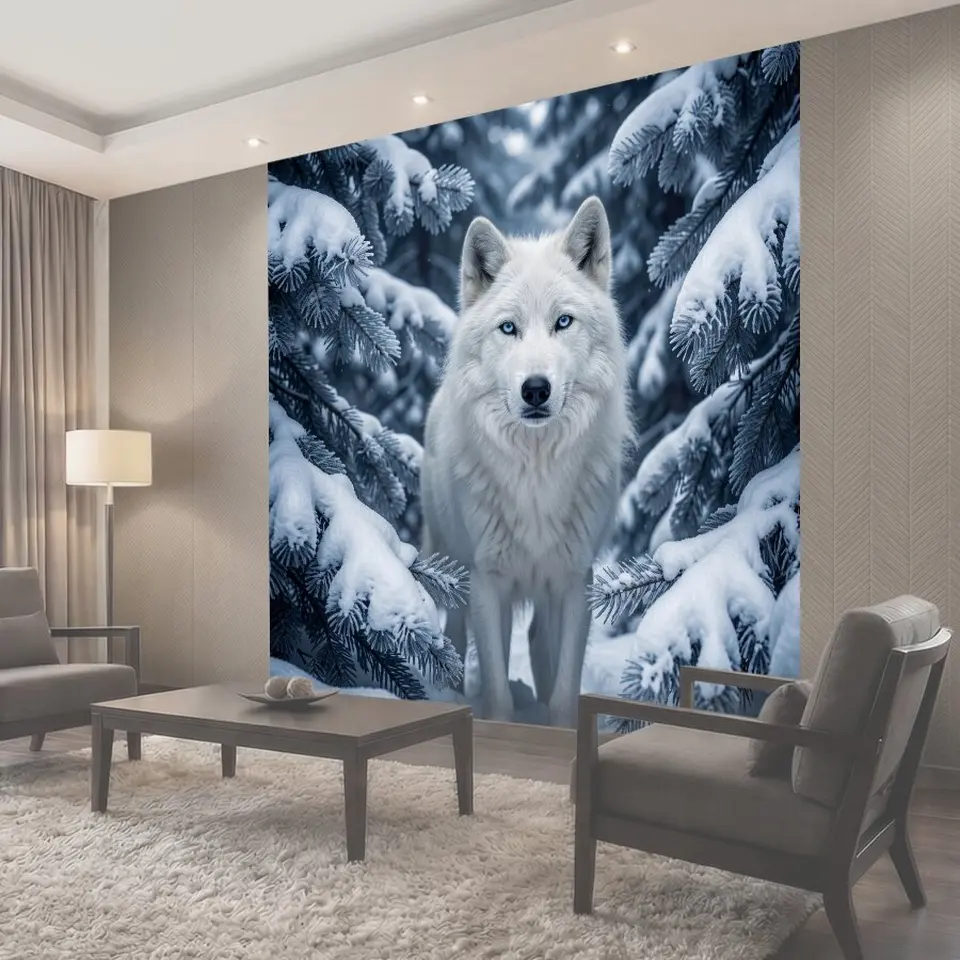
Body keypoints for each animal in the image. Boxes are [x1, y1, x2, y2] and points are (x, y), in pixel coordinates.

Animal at [420, 196, 631, 728]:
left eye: (563, 322)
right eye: (509, 327)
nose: (536, 389)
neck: (536, 475)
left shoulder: (575, 579)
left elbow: (565, 689)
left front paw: (558, 729)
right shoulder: (487, 580)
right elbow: (496, 690)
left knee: (537, 641)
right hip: (453, 567)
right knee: (454, 636)